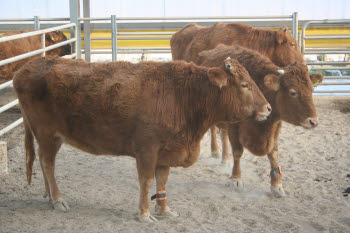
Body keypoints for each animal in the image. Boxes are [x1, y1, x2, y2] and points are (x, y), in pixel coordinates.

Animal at [13, 55, 270, 221]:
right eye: (244, 84)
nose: (268, 108)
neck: (183, 97)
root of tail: (27, 67)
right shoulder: (147, 149)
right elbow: (146, 181)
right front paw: (145, 214)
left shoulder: (167, 151)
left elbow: (162, 181)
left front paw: (164, 210)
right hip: (48, 134)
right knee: (48, 164)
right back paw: (58, 199)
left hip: (48, 137)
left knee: (44, 164)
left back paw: (49, 197)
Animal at [197, 43, 322, 197]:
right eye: (293, 92)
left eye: (312, 90)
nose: (313, 121)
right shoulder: (234, 126)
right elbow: (237, 152)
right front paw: (236, 178)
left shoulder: (275, 127)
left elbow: (274, 154)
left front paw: (277, 185)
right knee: (214, 130)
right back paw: (216, 152)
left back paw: (225, 159)